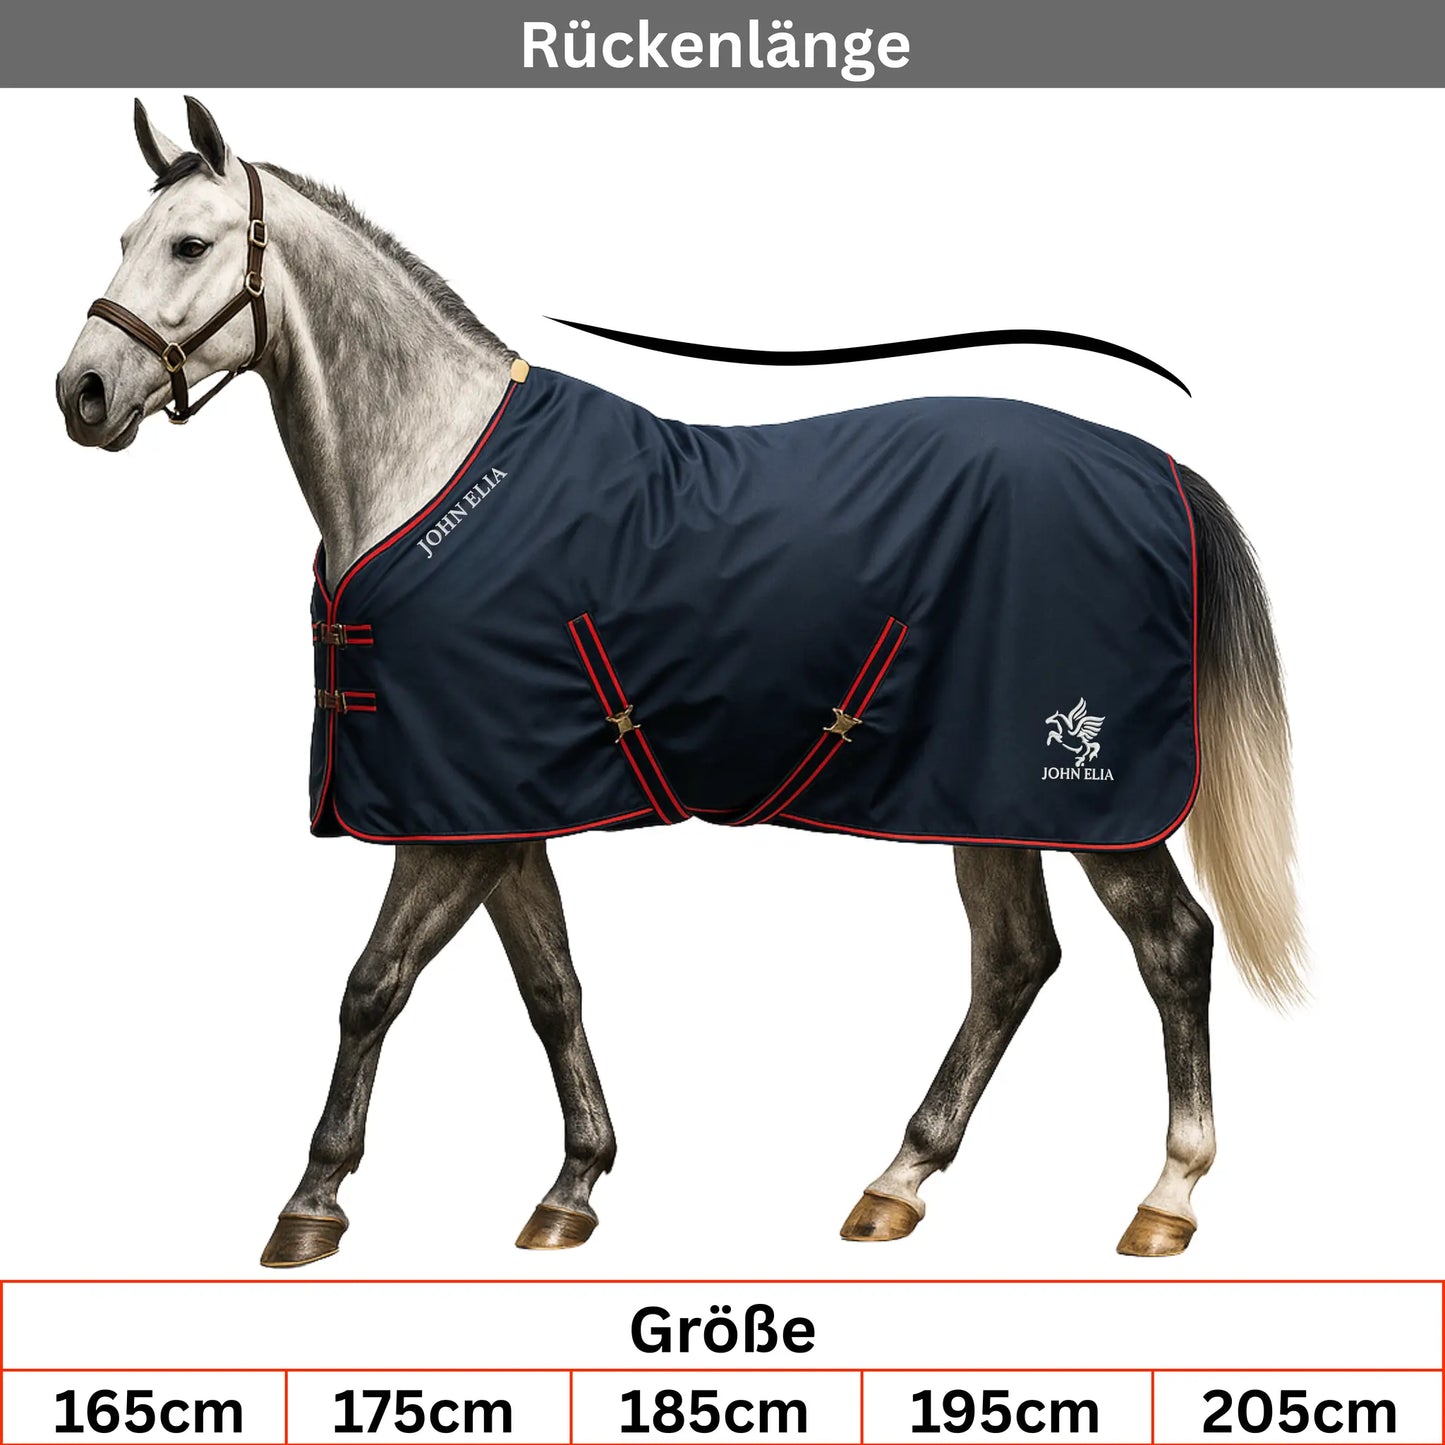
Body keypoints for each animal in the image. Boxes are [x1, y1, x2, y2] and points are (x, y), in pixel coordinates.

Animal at [56, 97, 1303, 1268]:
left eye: (189, 243)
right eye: (124, 236)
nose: (82, 391)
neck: (432, 468)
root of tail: (1156, 472)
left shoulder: (455, 821)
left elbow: (373, 982)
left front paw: (311, 1202)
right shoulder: (498, 811)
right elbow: (551, 985)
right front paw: (572, 1185)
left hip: (1085, 798)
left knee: (1169, 946)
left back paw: (1164, 1195)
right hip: (982, 799)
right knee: (1012, 961)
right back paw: (896, 1180)